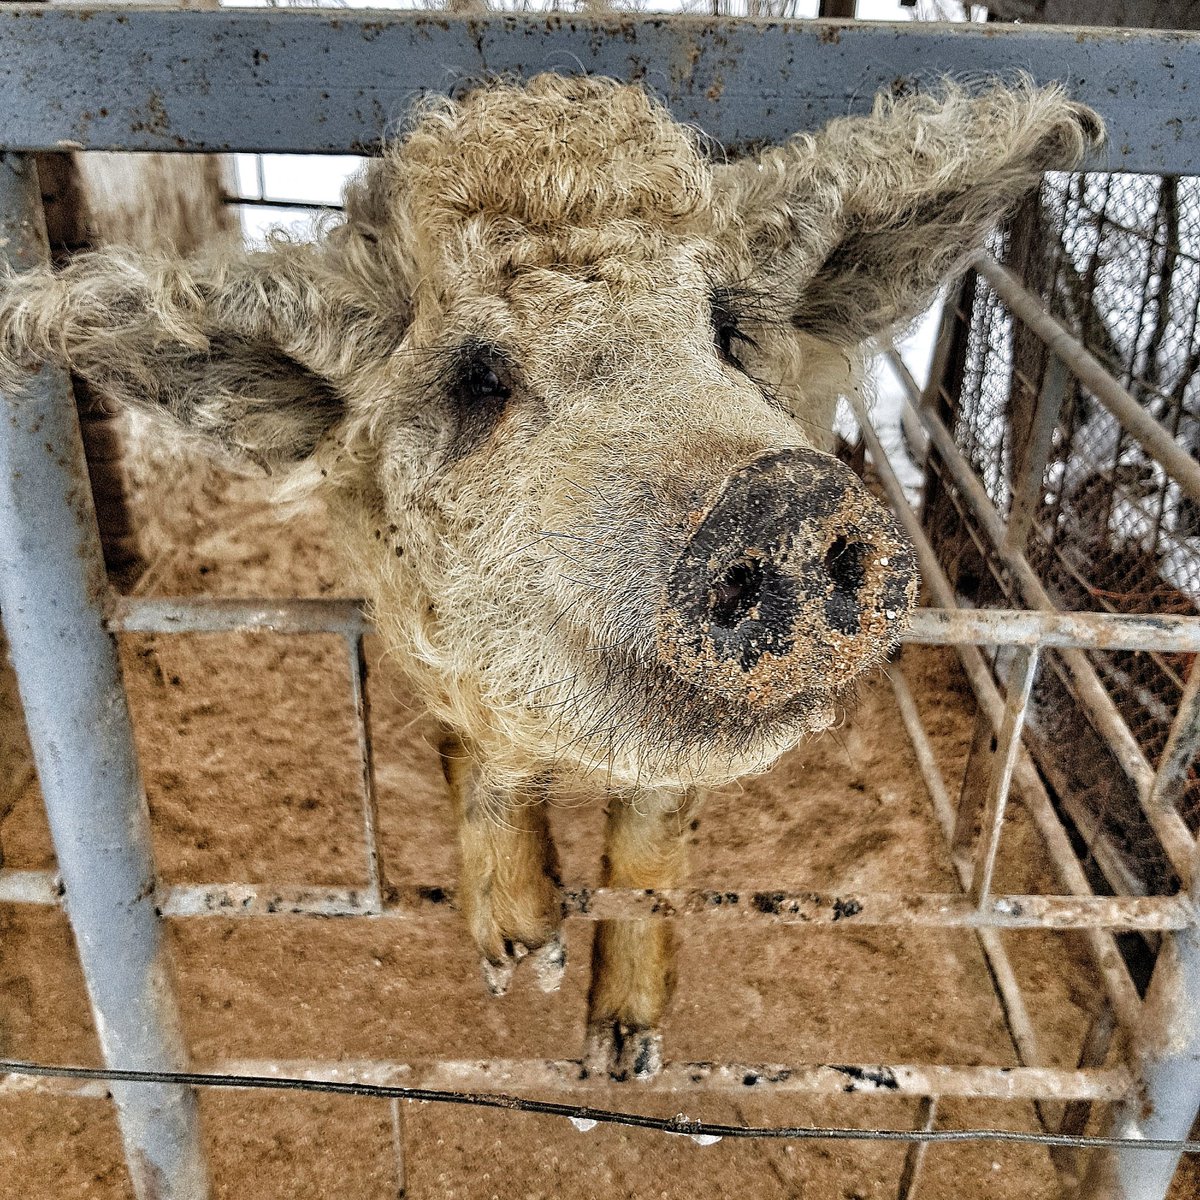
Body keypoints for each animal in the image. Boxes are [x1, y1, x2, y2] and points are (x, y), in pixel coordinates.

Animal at [0, 74, 1102, 1078]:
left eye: (726, 331)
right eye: (476, 381)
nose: (777, 496)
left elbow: (654, 837)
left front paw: (623, 1054)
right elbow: (474, 749)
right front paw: (522, 957)